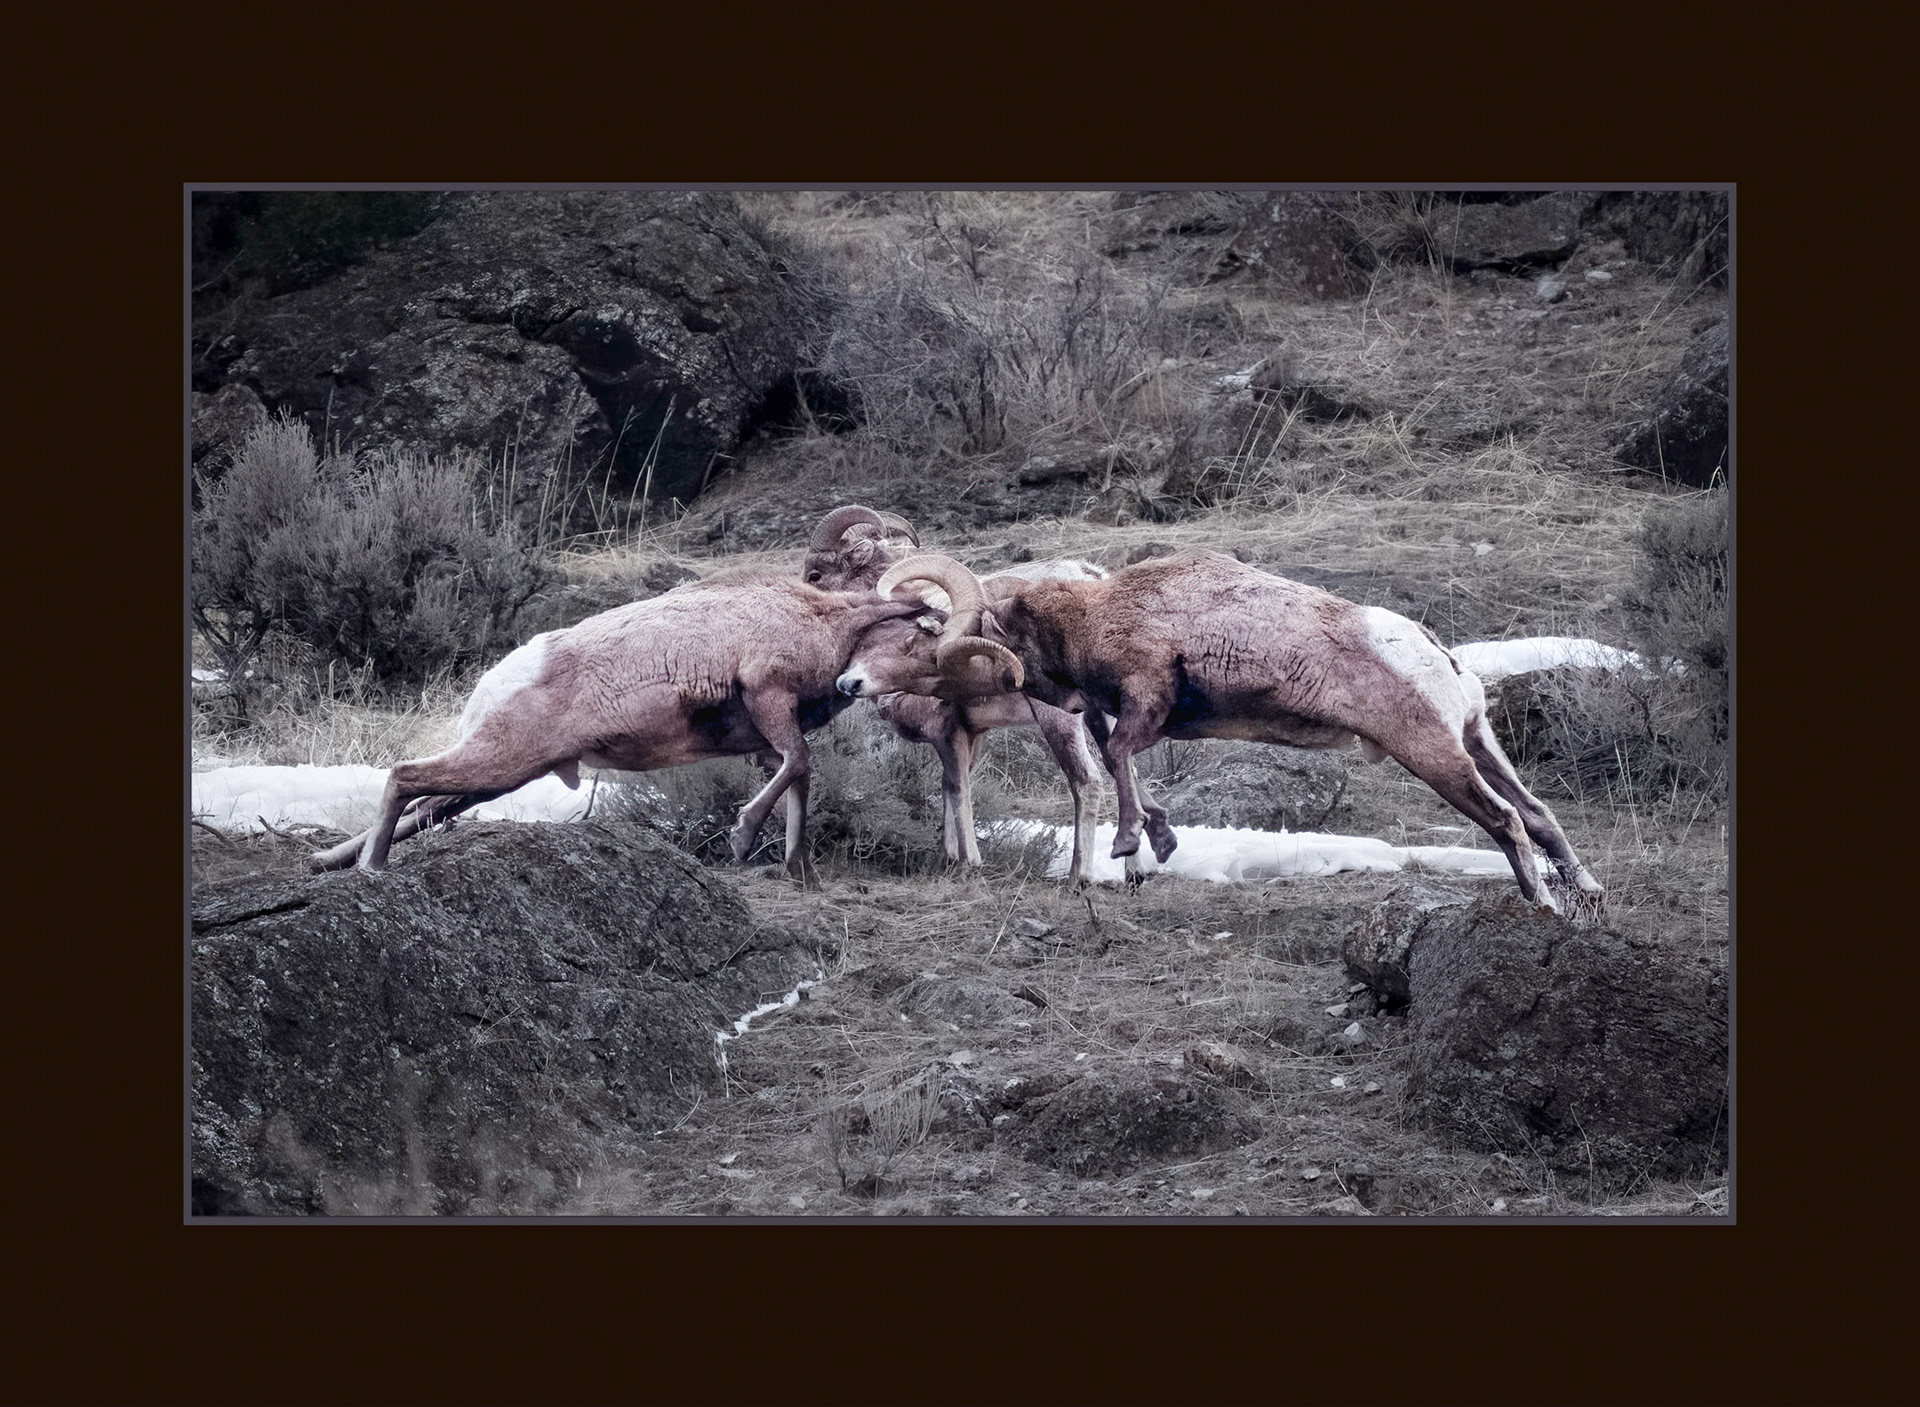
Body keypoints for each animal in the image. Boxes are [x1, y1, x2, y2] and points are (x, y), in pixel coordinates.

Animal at [307, 573, 942, 881]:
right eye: (916, 635)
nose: (855, 686)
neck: (818, 621)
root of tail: (496, 682)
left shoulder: (766, 738)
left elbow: (799, 778)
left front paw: (797, 869)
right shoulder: (768, 697)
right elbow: (800, 766)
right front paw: (741, 840)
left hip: (500, 776)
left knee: (423, 806)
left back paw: (330, 863)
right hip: (499, 761)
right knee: (404, 776)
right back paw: (372, 868)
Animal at [800, 505, 1171, 885]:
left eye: (815, 575)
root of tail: (1090, 577)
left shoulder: (945, 729)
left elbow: (958, 788)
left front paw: (967, 863)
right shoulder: (971, 733)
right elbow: (948, 787)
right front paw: (948, 858)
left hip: (1060, 718)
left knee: (1087, 780)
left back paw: (1077, 878)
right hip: (1101, 714)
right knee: (1122, 769)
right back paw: (1135, 873)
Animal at [835, 550, 1604, 913]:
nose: (850, 686)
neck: (1090, 616)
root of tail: (1436, 655)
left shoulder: (1145, 697)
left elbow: (1118, 758)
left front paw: (1129, 847)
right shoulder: (1118, 713)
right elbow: (1122, 763)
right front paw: (1156, 842)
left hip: (1436, 756)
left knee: (1507, 821)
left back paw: (1541, 903)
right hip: (1475, 743)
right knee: (1538, 813)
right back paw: (1587, 891)